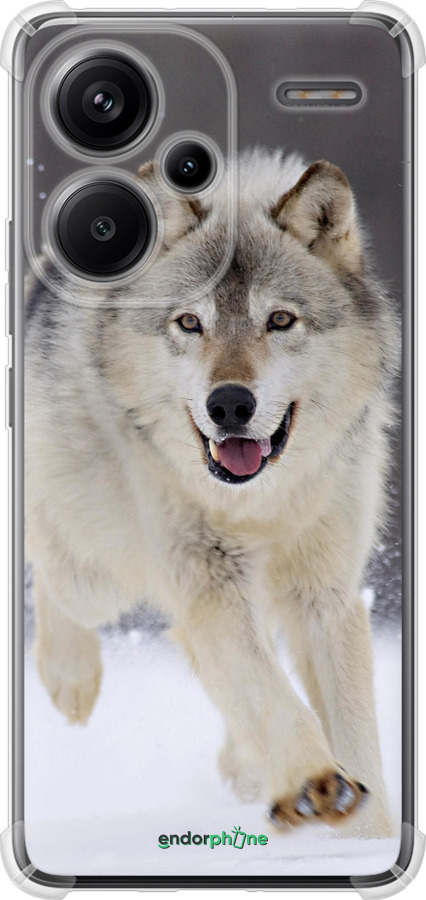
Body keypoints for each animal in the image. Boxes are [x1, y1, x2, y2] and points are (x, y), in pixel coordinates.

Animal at [25, 148, 398, 837]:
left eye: (279, 320)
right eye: (190, 323)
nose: (229, 404)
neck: (260, 504)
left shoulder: (324, 593)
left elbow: (354, 732)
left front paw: (369, 837)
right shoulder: (208, 579)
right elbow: (271, 694)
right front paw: (314, 783)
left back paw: (246, 766)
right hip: (100, 571)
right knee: (53, 573)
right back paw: (71, 679)